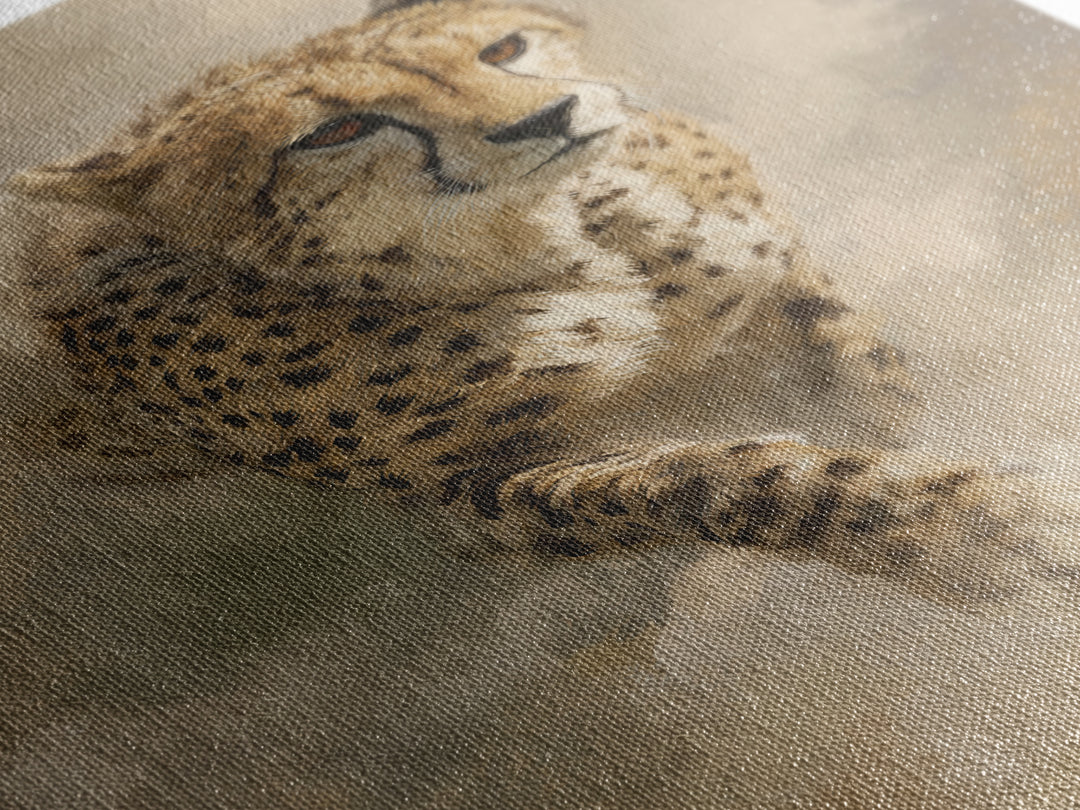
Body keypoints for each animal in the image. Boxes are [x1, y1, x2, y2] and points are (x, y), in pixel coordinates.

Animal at [8, 0, 1080, 607]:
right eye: (337, 131)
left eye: (506, 47)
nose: (550, 115)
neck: (578, 238)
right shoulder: (479, 490)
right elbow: (718, 481)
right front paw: (993, 519)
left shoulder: (767, 245)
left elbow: (850, 350)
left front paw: (890, 418)